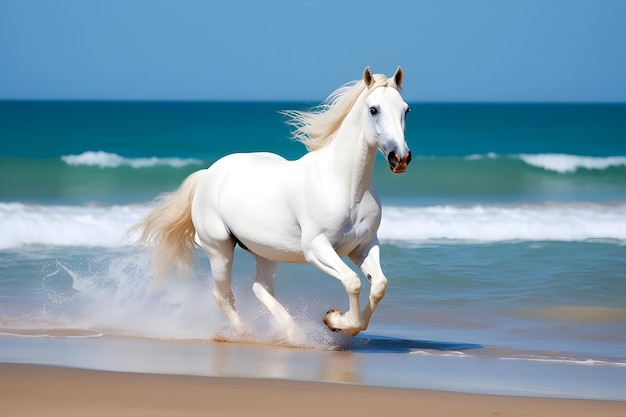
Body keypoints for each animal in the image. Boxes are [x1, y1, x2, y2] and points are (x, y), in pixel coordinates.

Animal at [130, 66, 410, 340]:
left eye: (405, 109)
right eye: (373, 109)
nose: (400, 158)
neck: (343, 185)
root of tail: (208, 174)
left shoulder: (363, 245)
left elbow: (379, 285)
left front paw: (338, 322)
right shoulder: (316, 248)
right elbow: (353, 281)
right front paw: (335, 321)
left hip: (265, 251)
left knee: (259, 288)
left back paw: (292, 333)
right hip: (219, 249)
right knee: (221, 294)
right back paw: (246, 333)